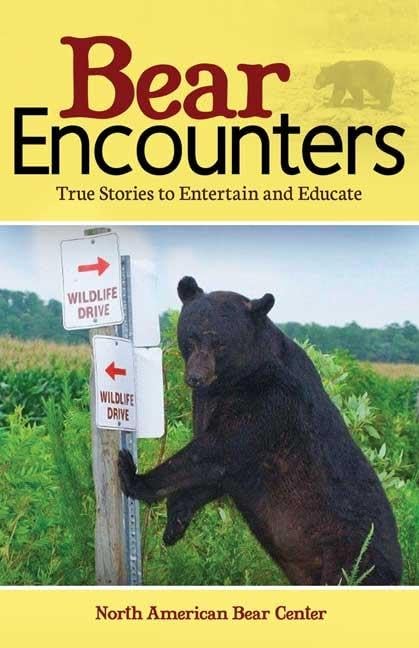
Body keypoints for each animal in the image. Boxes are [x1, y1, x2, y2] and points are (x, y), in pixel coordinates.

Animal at [118, 277, 403, 585]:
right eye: (191, 337)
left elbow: (215, 452)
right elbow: (217, 475)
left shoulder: (268, 404)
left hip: (348, 558)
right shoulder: (210, 405)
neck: (236, 378)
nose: (195, 377)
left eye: (220, 342)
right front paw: (175, 523)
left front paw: (132, 474)